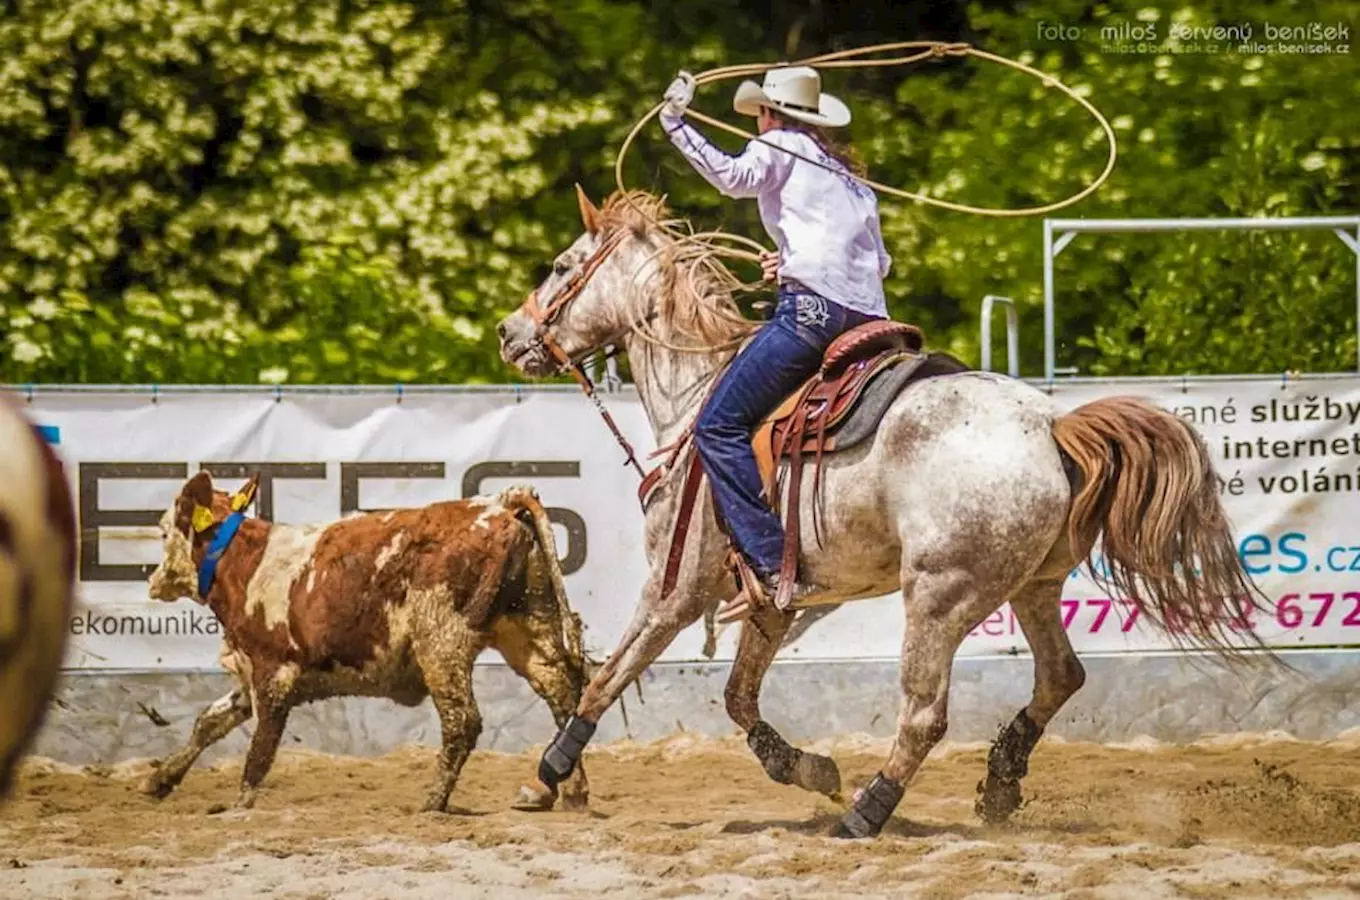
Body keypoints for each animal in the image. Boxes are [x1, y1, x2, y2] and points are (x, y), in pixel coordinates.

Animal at [144, 473, 590, 815]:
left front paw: (238, 808)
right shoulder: (249, 673)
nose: (152, 579)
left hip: (440, 642)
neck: (244, 562)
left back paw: (433, 803)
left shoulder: (274, 674)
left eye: (164, 531)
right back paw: (571, 793)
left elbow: (260, 752)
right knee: (563, 696)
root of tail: (498, 504)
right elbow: (209, 721)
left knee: (463, 721)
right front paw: (161, 779)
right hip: (531, 630)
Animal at [495, 186, 1267, 842]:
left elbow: (605, 678)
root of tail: (1050, 424)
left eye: (562, 265)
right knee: (1059, 676)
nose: (509, 332)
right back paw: (998, 786)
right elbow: (740, 698)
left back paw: (868, 812)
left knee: (924, 713)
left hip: (938, 595)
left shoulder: (676, 588)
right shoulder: (771, 602)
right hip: (1034, 585)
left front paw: (547, 777)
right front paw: (809, 769)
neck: (698, 393)